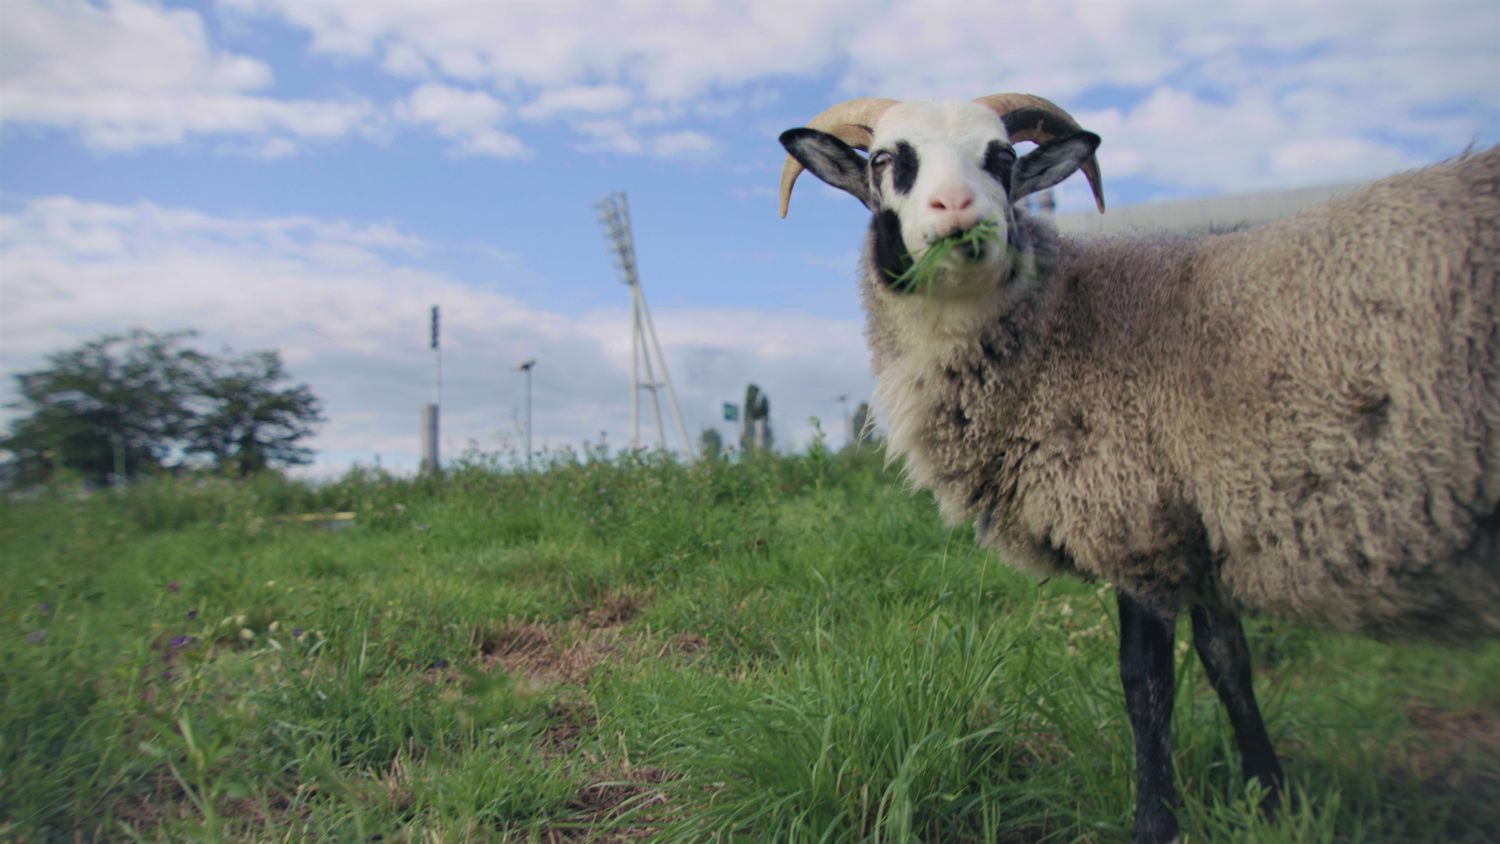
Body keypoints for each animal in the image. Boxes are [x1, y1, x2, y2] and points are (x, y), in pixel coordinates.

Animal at [777, 93, 1500, 844]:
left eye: (1001, 158)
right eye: (886, 161)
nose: (957, 208)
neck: (1065, 323)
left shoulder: (1136, 523)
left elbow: (1146, 686)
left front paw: (1156, 821)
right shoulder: (1198, 527)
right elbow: (1229, 662)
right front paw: (1271, 796)